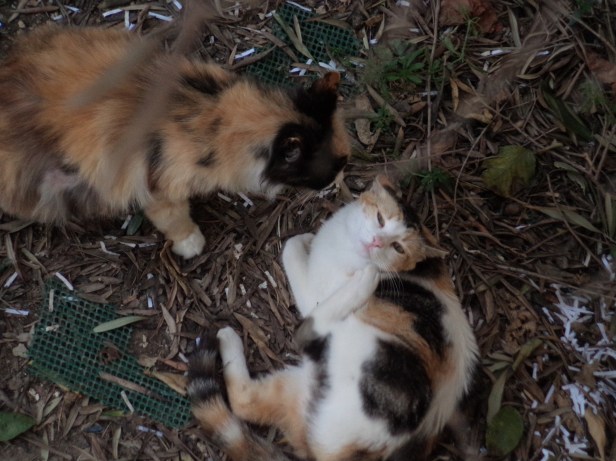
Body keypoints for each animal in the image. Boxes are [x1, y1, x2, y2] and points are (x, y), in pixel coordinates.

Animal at [0, 25, 350, 258]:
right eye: (329, 168)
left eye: (343, 161)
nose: (340, 177)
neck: (216, 117)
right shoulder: (160, 190)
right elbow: (176, 220)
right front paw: (191, 244)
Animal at [187, 175, 479, 461]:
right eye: (380, 219)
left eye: (397, 247)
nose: (376, 242)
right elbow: (294, 241)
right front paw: (308, 237)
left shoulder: (313, 294)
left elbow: (289, 250)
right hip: (298, 388)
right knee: (245, 401)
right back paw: (227, 338)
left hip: (363, 346)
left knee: (306, 331)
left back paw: (363, 284)